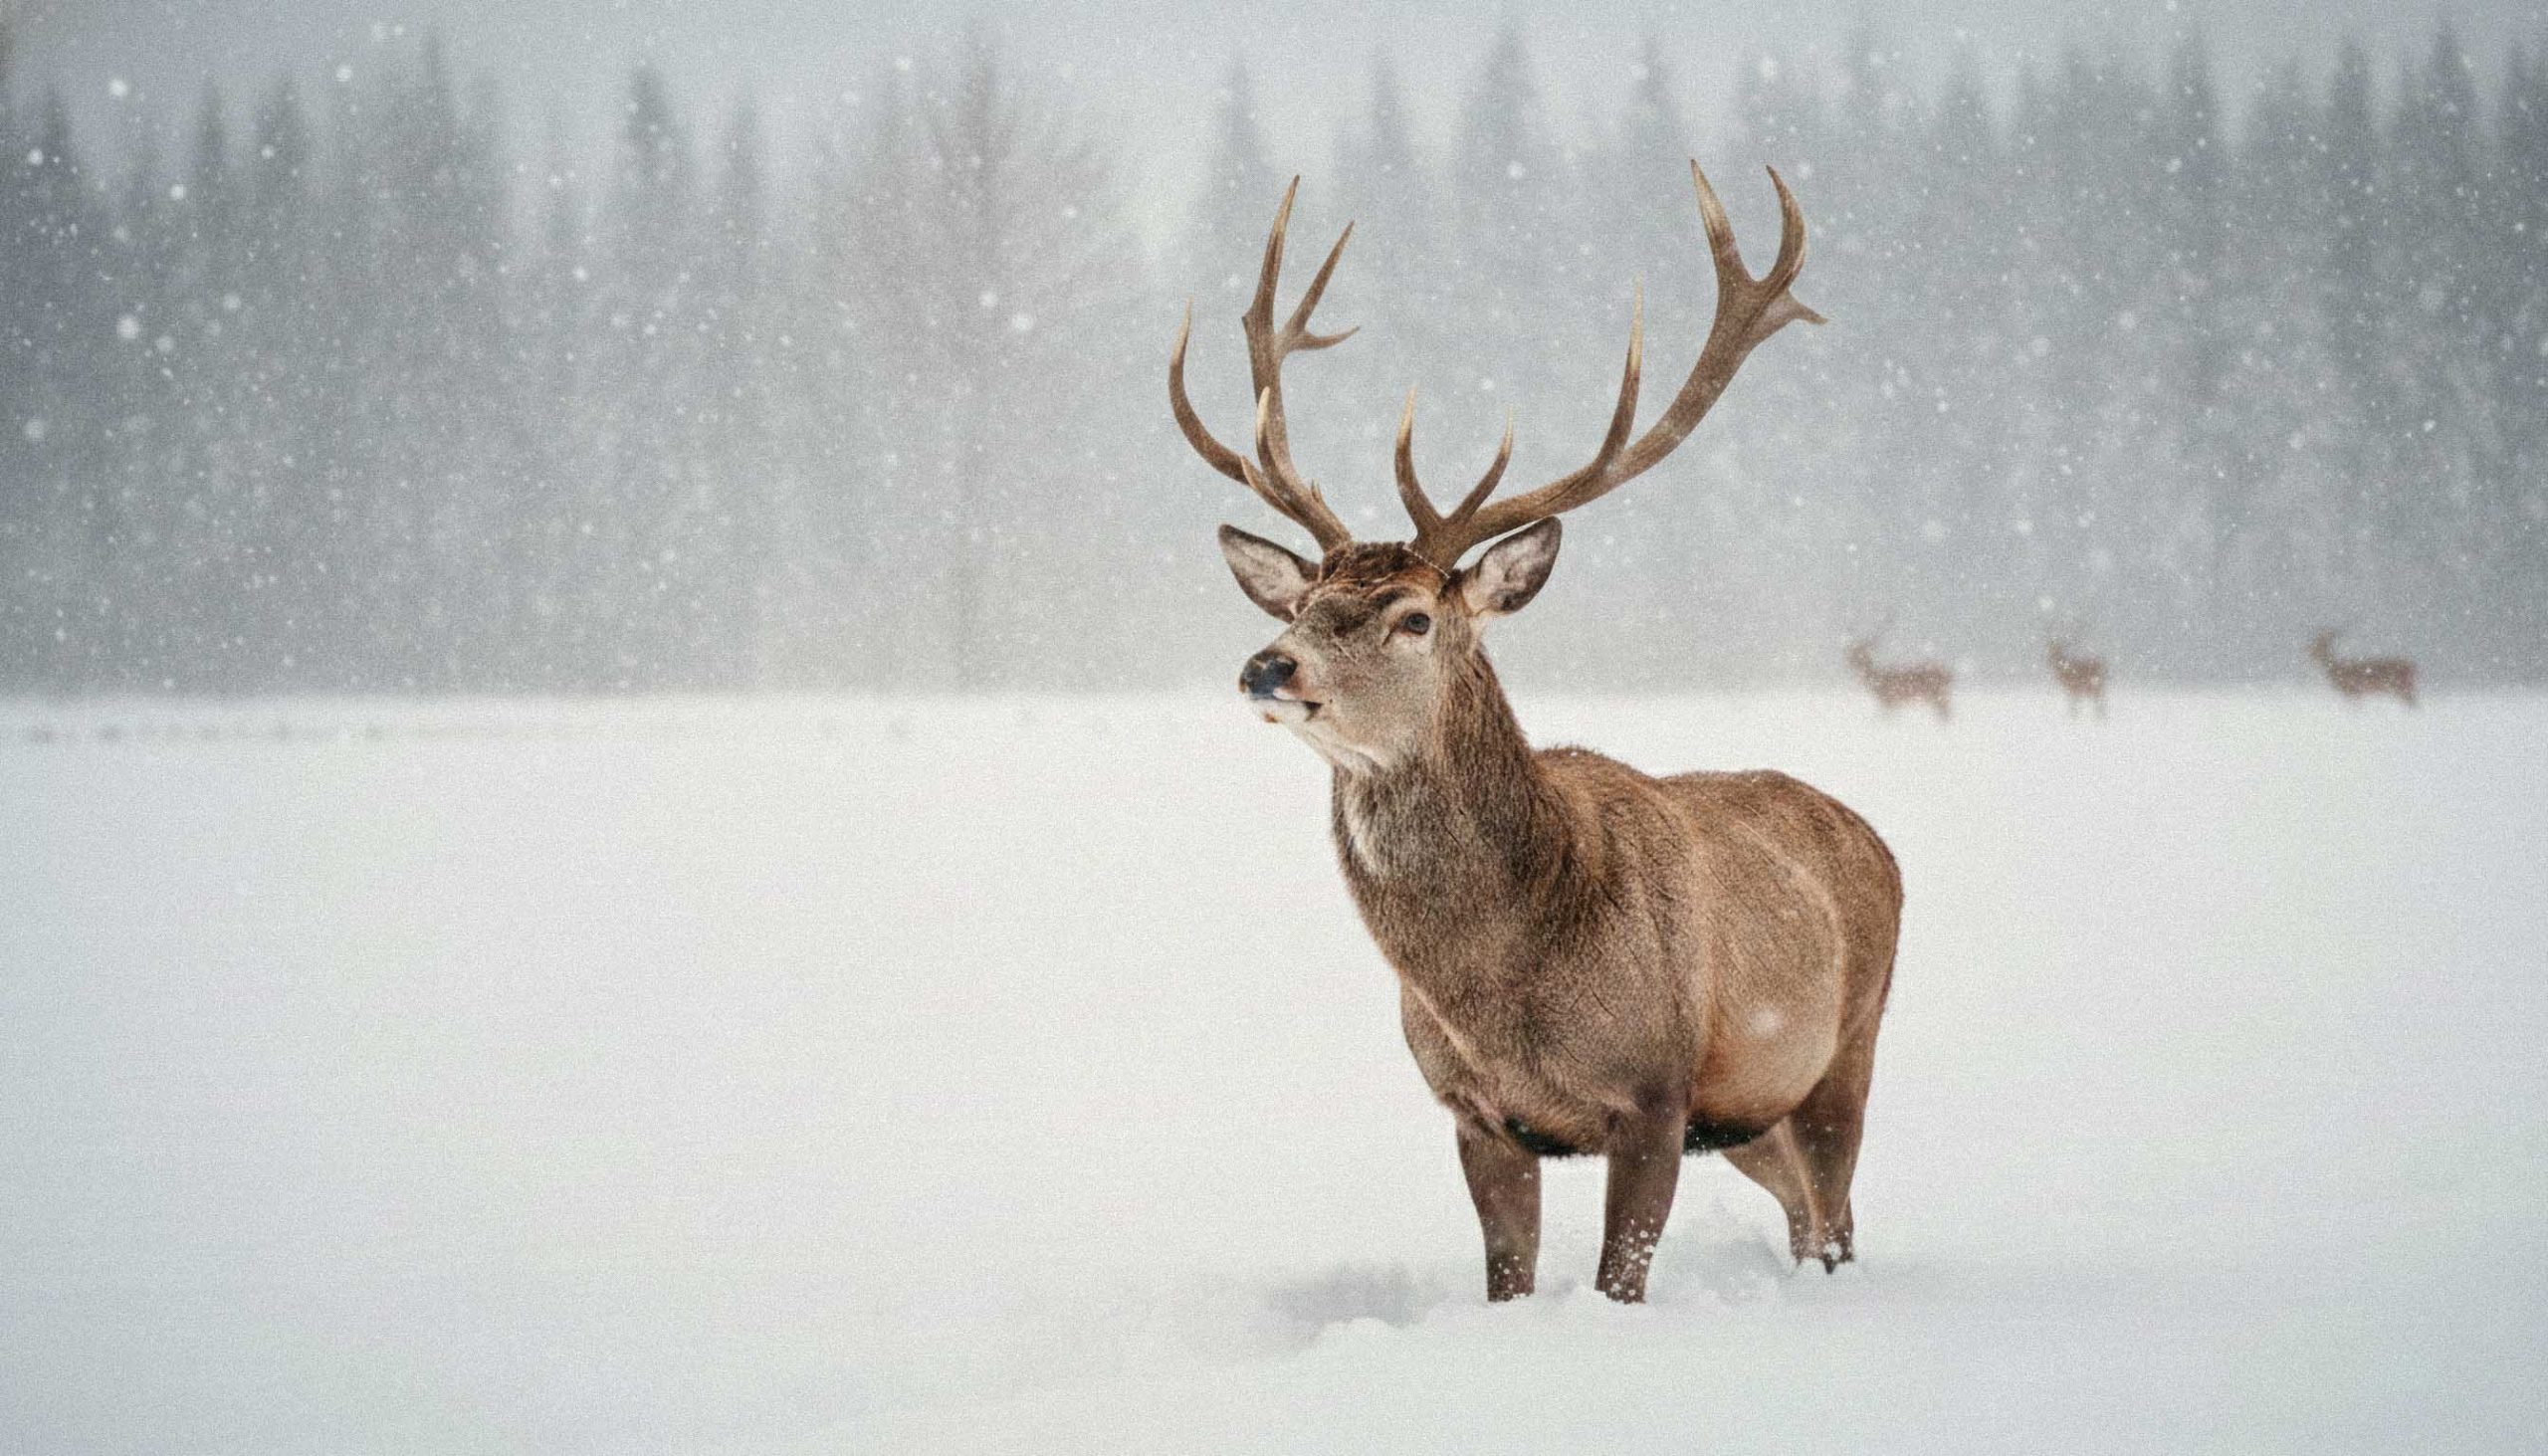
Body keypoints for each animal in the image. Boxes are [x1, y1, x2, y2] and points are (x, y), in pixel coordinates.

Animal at [1169, 165, 1900, 1304]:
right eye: (1303, 604)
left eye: (1413, 618)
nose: (1268, 665)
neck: (1504, 989)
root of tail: (1875, 837)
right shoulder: (1477, 1111)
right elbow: (1506, 1274)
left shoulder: (1654, 1094)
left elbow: (1619, 1280)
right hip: (1750, 1110)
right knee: (1803, 1207)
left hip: (1847, 1043)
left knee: (1835, 1216)